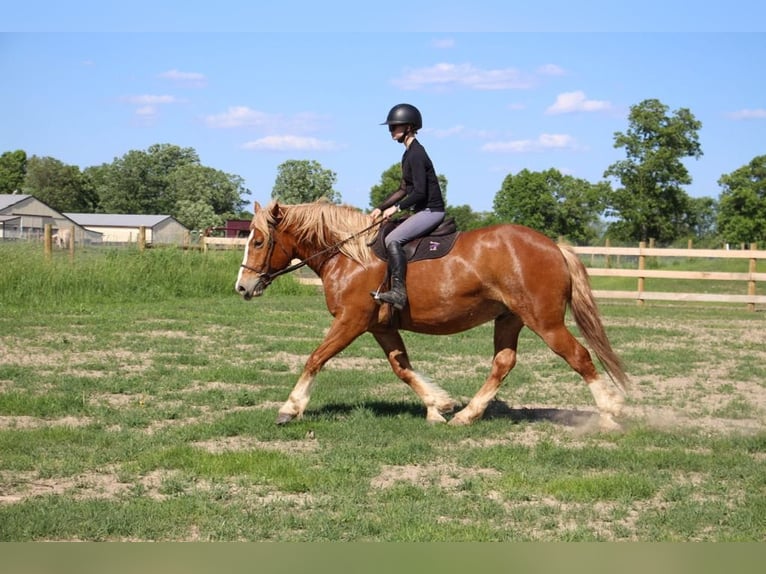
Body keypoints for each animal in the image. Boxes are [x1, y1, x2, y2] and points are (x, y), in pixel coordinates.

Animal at [236, 200, 632, 430]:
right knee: (503, 363)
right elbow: (402, 367)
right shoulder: (379, 327)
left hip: (545, 321)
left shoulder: (351, 321)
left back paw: (610, 413)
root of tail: (553, 246)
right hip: (509, 318)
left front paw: (290, 408)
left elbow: (316, 358)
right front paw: (437, 406)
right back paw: (467, 415)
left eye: (258, 241)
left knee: (579, 356)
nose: (242, 287)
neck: (350, 255)